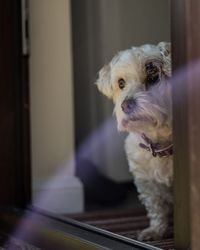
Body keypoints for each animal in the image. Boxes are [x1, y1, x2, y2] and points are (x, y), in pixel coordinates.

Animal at [95, 42, 172, 241]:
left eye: (153, 76)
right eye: (121, 83)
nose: (126, 105)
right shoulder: (146, 181)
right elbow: (156, 207)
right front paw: (156, 230)